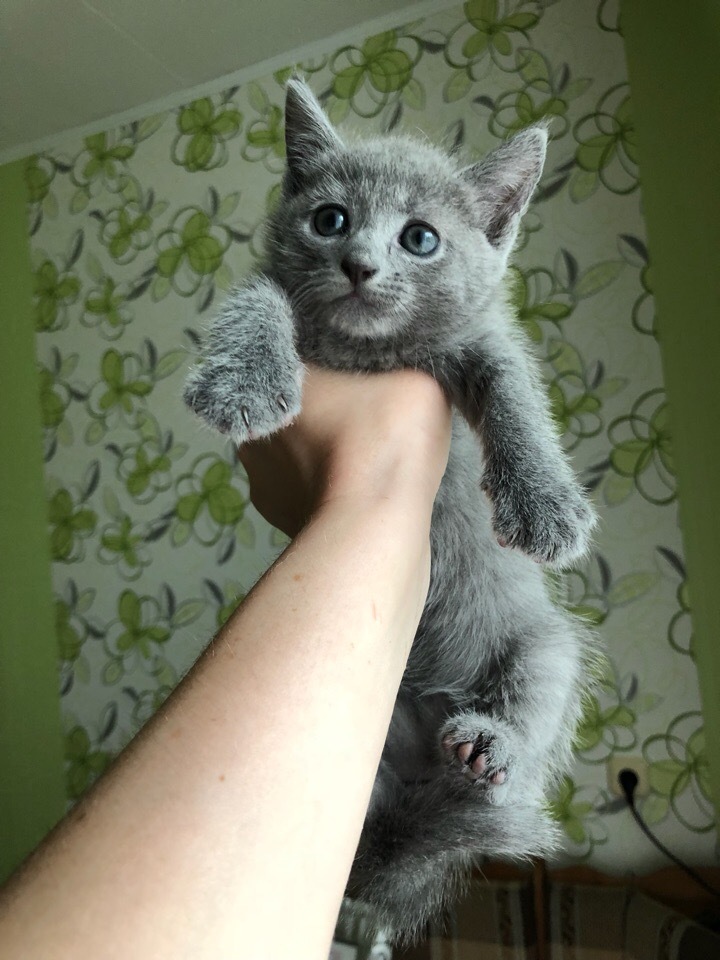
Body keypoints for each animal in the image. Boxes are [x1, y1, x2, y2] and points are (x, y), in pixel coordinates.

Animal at [184, 80, 596, 936]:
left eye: (420, 238)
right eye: (330, 220)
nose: (359, 265)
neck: (366, 354)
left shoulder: (484, 342)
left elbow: (517, 390)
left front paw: (547, 502)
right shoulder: (271, 291)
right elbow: (258, 300)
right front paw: (243, 383)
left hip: (547, 645)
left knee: (538, 690)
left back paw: (489, 748)